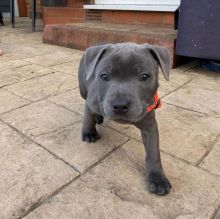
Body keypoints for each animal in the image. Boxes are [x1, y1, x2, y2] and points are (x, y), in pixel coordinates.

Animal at [78, 42, 171, 195]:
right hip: (83, 88)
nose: (120, 105)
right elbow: (88, 116)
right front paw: (89, 133)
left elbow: (153, 152)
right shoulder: (92, 101)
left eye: (144, 76)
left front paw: (158, 178)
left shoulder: (150, 127)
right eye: (104, 76)